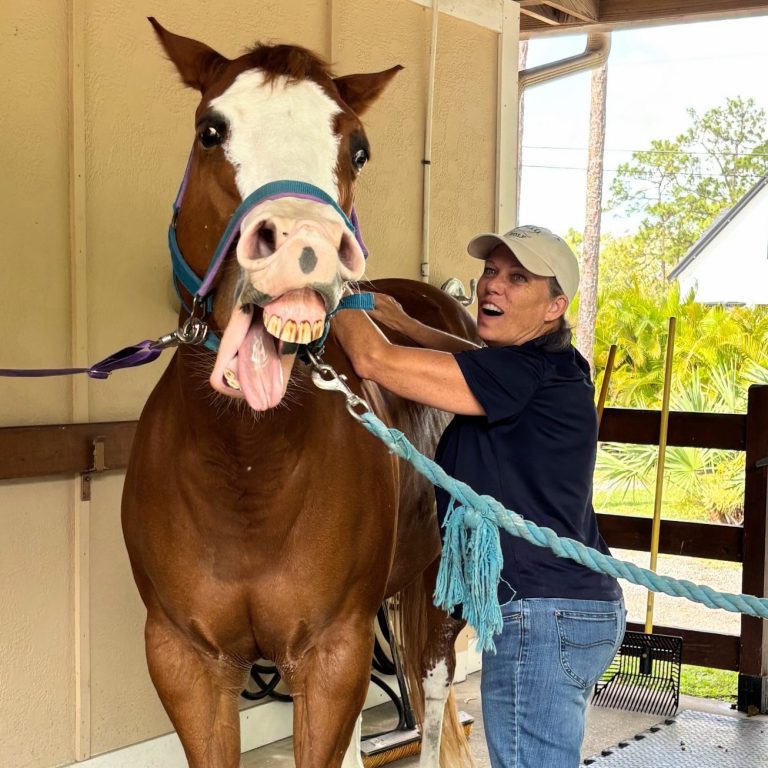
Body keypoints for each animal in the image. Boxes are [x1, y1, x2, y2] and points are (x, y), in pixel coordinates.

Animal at [121, 19, 477, 768]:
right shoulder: (185, 658)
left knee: (433, 693)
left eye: (359, 149)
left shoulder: (334, 651)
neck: (248, 464)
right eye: (211, 130)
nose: (304, 246)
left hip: (436, 582)